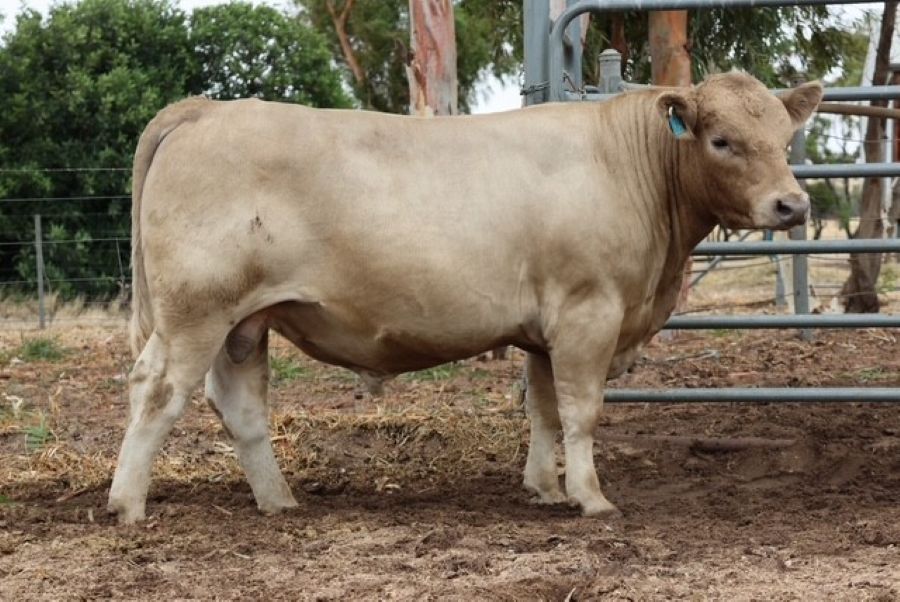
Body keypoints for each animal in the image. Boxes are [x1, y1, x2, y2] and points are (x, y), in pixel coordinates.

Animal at [107, 72, 822, 524]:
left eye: (785, 139)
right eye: (721, 140)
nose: (792, 205)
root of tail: (206, 107)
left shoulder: (544, 329)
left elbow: (543, 410)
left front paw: (545, 489)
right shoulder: (588, 313)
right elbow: (582, 411)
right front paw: (591, 498)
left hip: (245, 322)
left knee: (241, 406)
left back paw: (278, 501)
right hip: (196, 311)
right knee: (156, 389)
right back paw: (127, 505)